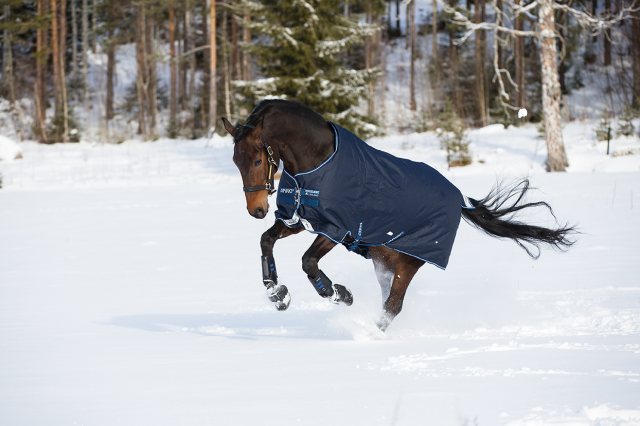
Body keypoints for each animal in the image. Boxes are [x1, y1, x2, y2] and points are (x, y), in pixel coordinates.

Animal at [224, 100, 576, 332]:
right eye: (236, 161)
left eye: (257, 160)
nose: (256, 209)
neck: (317, 161)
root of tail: (459, 200)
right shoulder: (296, 219)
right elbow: (265, 241)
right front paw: (277, 294)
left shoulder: (335, 228)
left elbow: (308, 263)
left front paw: (340, 294)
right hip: (384, 259)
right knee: (388, 302)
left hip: (408, 262)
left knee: (393, 306)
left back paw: (368, 332)